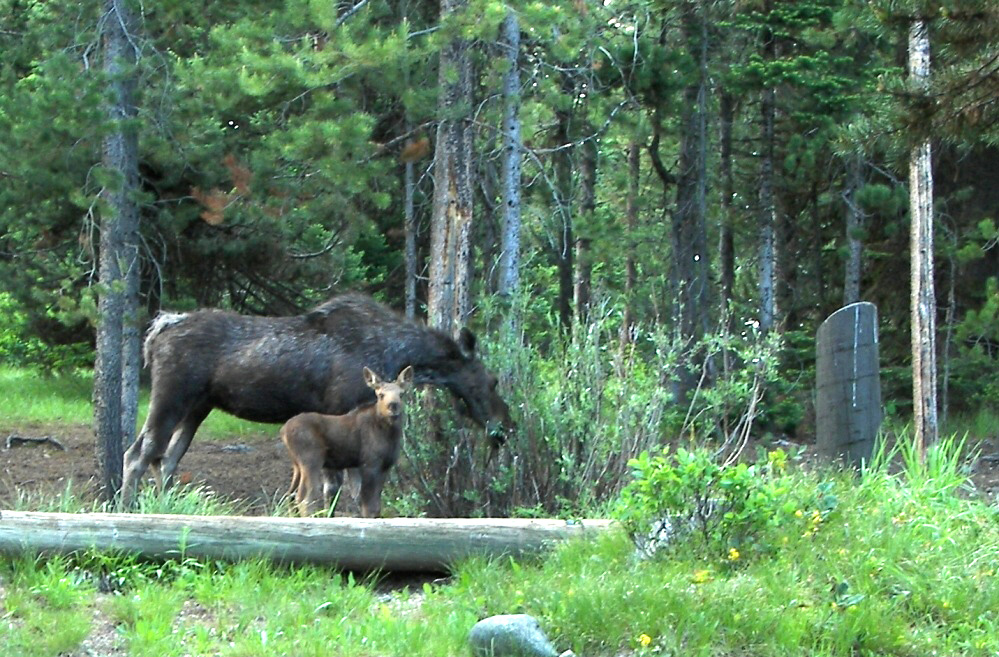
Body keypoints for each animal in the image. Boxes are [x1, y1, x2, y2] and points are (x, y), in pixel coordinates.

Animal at [282, 366, 414, 516]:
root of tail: (283, 431)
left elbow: (376, 507)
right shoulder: (369, 463)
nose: (393, 406)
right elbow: (368, 506)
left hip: (297, 465)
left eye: (401, 394)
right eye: (381, 395)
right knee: (305, 498)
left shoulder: (385, 466)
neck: (390, 435)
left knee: (290, 496)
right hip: (311, 460)